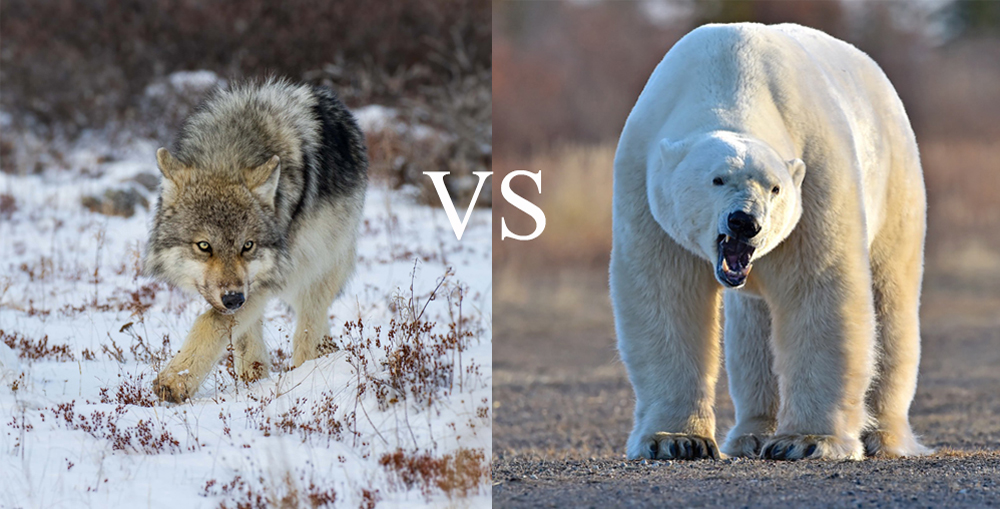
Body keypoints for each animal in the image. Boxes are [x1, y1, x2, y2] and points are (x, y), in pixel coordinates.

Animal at [144, 78, 368, 403]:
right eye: (204, 246)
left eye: (247, 246)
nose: (233, 299)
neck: (229, 153)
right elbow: (238, 332)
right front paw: (253, 377)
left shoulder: (268, 277)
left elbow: (210, 322)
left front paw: (175, 380)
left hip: (318, 264)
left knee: (308, 324)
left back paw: (309, 374)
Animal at [610, 23, 931, 460]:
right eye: (717, 179)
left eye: (775, 188)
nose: (745, 222)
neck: (732, 75)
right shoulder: (645, 183)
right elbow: (665, 296)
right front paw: (676, 441)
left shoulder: (817, 177)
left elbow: (820, 289)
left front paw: (807, 442)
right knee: (753, 330)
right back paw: (752, 434)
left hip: (896, 180)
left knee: (891, 303)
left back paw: (883, 436)